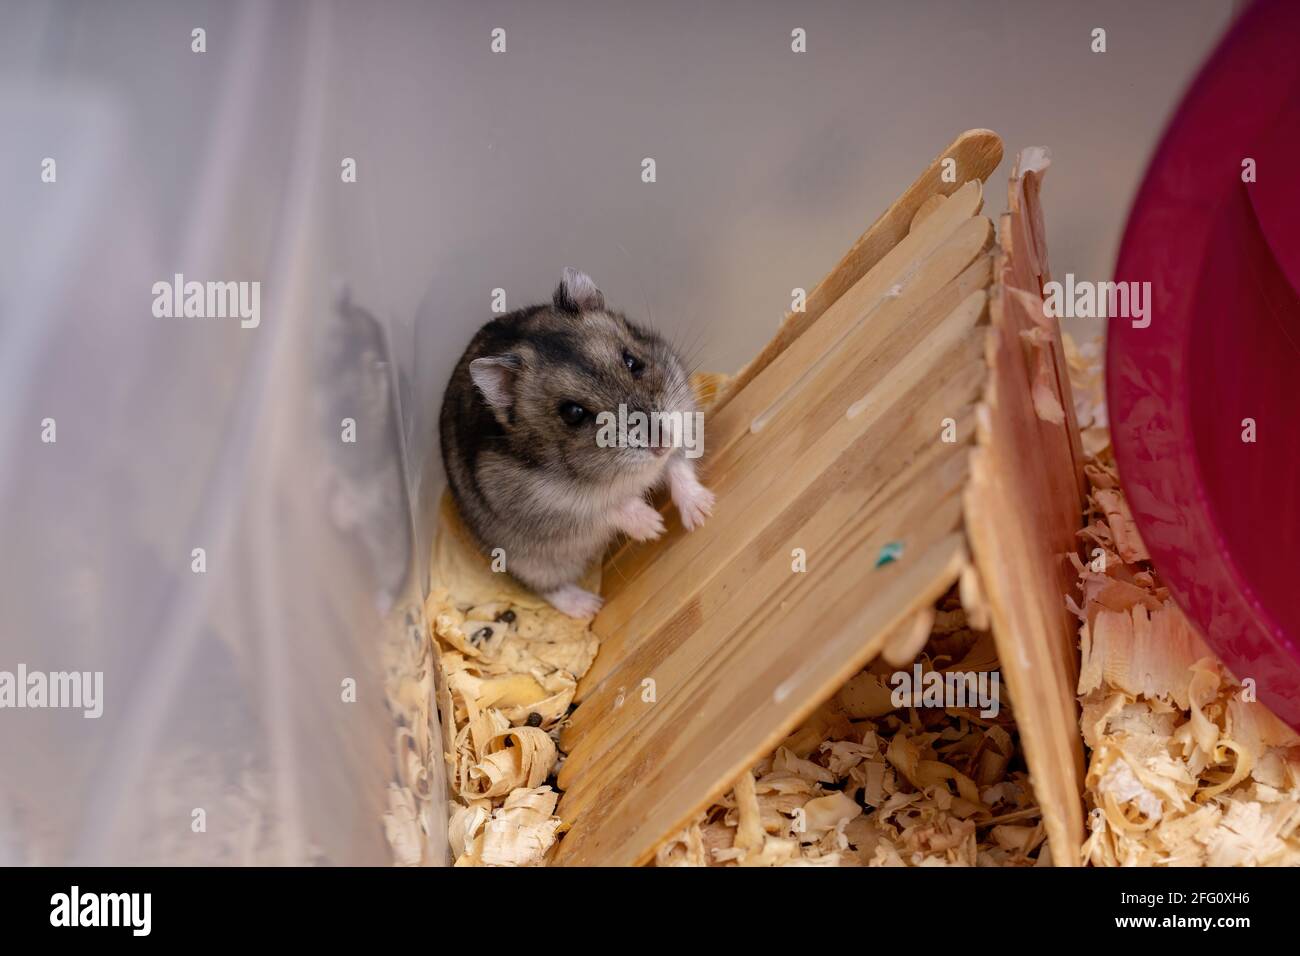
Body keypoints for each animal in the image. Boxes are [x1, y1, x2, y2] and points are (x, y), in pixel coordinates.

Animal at [439, 268, 715, 618]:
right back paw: (589, 607)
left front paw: (702, 513)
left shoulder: (682, 416)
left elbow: (678, 468)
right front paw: (654, 527)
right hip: (529, 561)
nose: (661, 444)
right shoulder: (549, 507)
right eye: (572, 413)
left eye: (632, 361)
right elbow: (605, 507)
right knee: (546, 588)